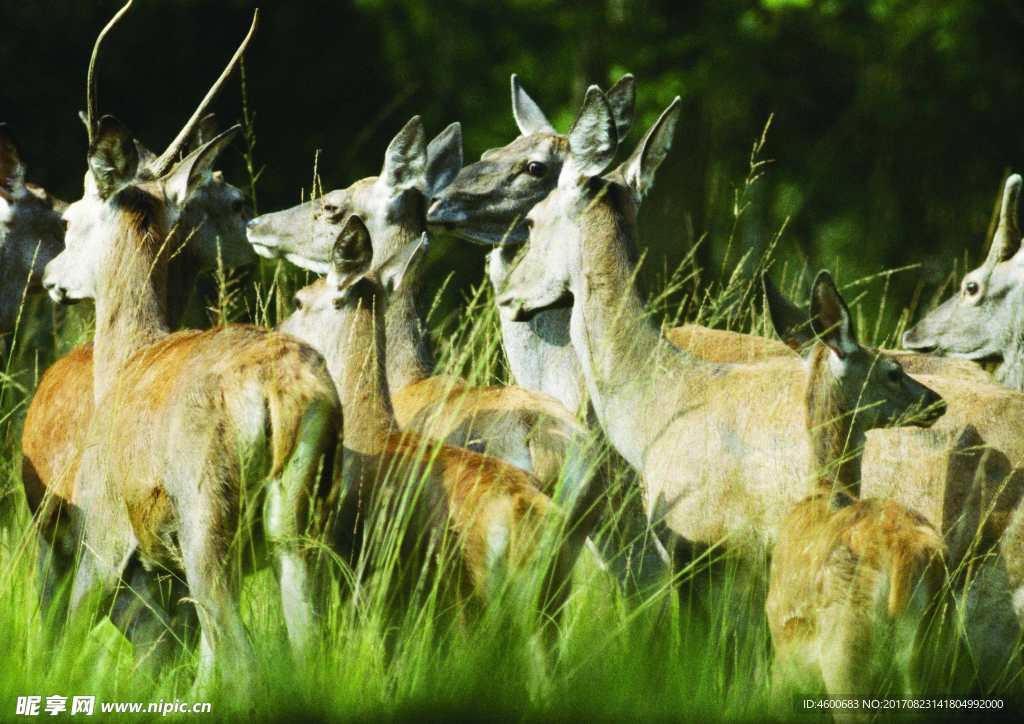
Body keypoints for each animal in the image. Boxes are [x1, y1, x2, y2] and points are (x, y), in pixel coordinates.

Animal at [40, 11, 343, 690]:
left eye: (71, 218)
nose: (50, 278)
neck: (127, 359)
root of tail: (286, 391)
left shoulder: (104, 541)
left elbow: (67, 639)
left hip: (209, 528)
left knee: (241, 658)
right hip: (295, 535)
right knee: (304, 647)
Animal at [763, 271, 945, 705]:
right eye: (893, 371)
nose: (938, 401)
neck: (823, 490)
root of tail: (904, 554)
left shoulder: (783, 648)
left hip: (845, 654)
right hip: (933, 651)